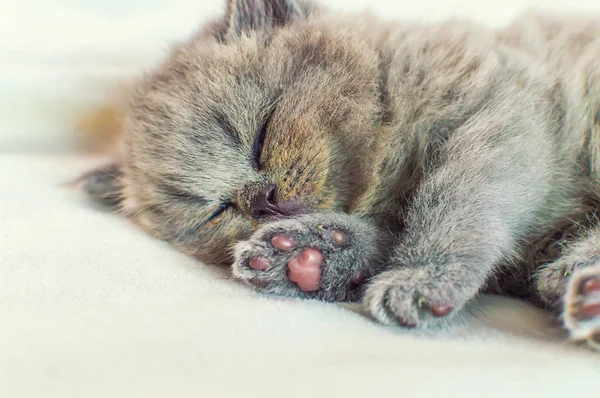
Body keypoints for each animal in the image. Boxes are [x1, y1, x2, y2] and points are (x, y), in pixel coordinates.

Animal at [82, 0, 600, 348]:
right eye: (216, 212)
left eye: (261, 134)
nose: (263, 199)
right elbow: (385, 235)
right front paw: (306, 257)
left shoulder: (501, 110)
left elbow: (455, 202)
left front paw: (422, 277)